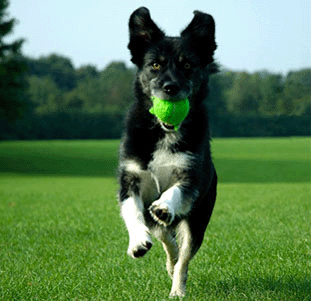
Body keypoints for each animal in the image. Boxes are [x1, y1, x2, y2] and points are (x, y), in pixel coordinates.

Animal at [118, 6, 218, 296]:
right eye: (155, 65)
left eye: (187, 65)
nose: (170, 88)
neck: (165, 132)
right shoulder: (130, 178)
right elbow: (132, 211)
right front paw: (137, 241)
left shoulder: (190, 176)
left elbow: (175, 192)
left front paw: (164, 206)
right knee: (166, 238)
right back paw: (168, 259)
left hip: (198, 221)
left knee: (183, 257)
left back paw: (177, 289)